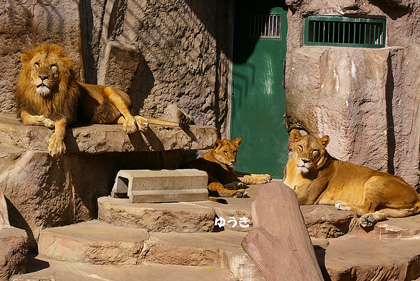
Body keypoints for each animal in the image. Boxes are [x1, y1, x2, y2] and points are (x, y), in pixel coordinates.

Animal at [16, 44, 151, 156]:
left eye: (53, 66)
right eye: (37, 64)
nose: (43, 77)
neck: (46, 96)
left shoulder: (66, 112)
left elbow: (60, 126)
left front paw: (56, 145)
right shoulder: (27, 107)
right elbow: (25, 117)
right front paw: (46, 121)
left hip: (110, 90)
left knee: (129, 114)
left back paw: (132, 125)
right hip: (112, 117)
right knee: (129, 116)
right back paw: (142, 122)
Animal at [282, 129, 420, 228]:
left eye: (314, 150)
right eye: (301, 147)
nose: (305, 161)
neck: (296, 171)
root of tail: (417, 195)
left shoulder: (305, 196)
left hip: (375, 179)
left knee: (366, 207)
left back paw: (344, 205)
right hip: (393, 208)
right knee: (380, 212)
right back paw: (368, 220)